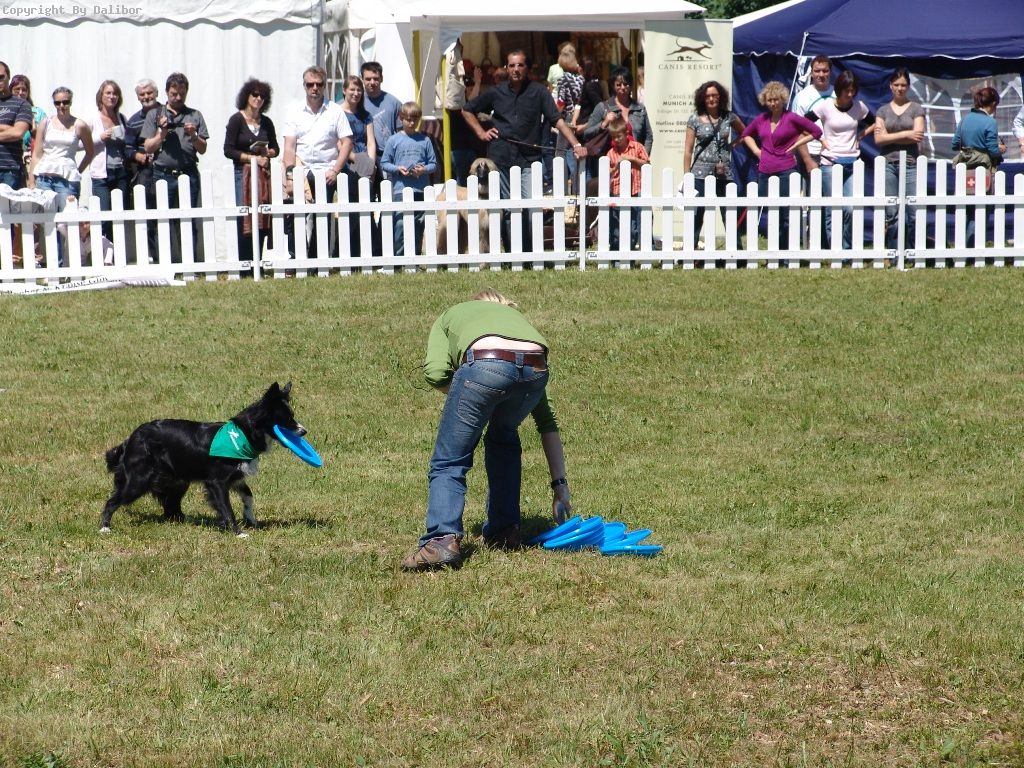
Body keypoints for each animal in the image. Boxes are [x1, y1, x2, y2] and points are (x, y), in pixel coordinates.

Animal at [100, 382, 305, 537]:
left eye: (292, 416)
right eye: (287, 419)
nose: (304, 431)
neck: (243, 434)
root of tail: (131, 438)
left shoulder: (236, 477)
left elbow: (248, 496)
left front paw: (251, 519)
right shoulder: (217, 482)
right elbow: (226, 508)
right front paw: (237, 532)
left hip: (177, 480)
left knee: (171, 507)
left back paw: (188, 519)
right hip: (139, 480)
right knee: (112, 501)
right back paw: (104, 527)